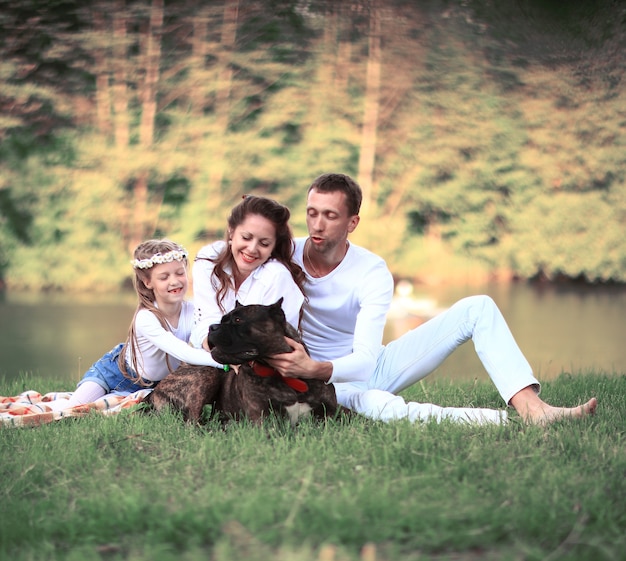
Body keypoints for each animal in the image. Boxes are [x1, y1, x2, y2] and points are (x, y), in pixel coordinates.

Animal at [143, 298, 336, 424]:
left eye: (238, 320)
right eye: (222, 320)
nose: (212, 327)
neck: (284, 376)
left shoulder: (331, 414)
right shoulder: (262, 420)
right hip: (206, 375)